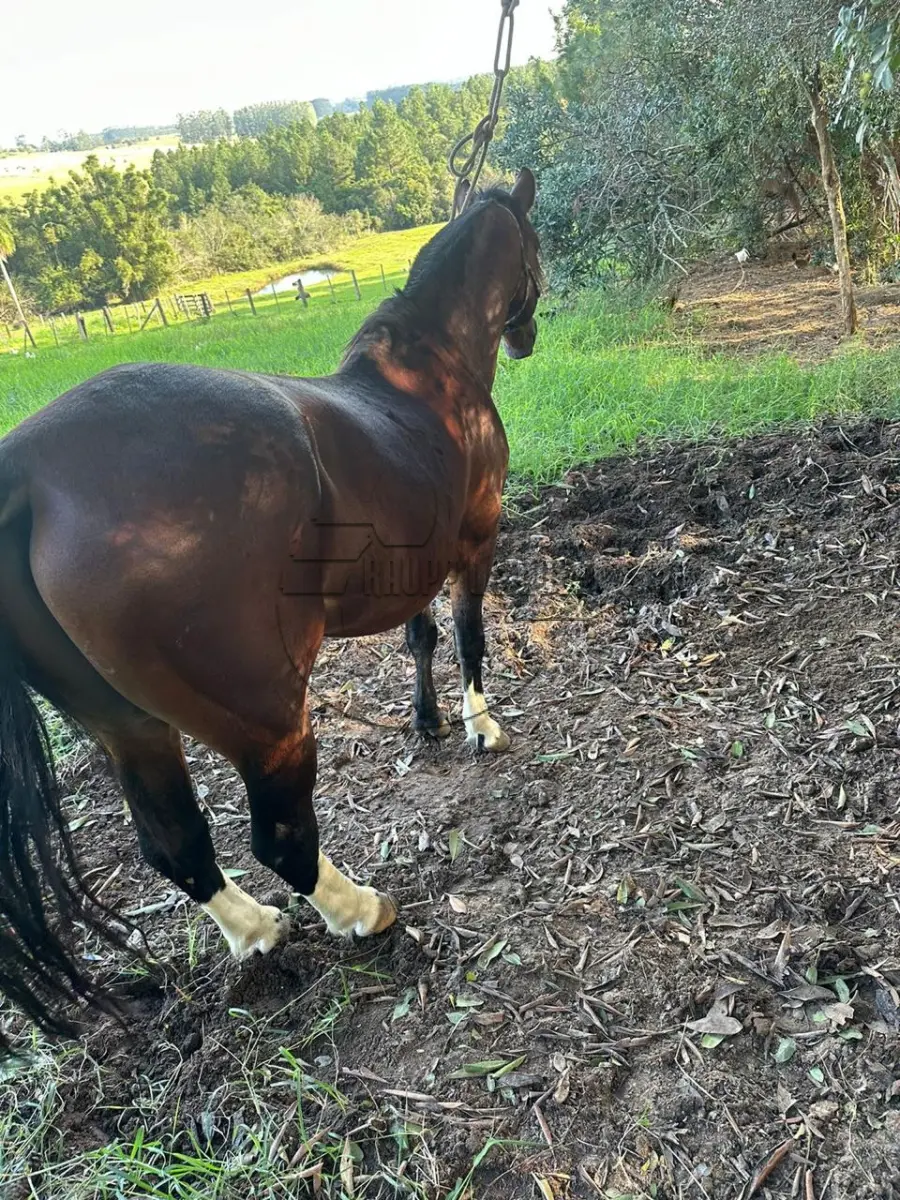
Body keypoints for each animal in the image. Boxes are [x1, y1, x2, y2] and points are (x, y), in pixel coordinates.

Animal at [0, 169, 542, 1049]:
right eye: (532, 243)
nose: (527, 331)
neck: (429, 373)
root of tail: (27, 472)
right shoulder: (476, 543)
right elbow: (468, 638)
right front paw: (479, 726)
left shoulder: (414, 568)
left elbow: (420, 638)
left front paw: (426, 722)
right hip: (268, 721)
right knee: (280, 838)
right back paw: (361, 911)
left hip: (128, 727)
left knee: (177, 846)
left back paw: (256, 931)